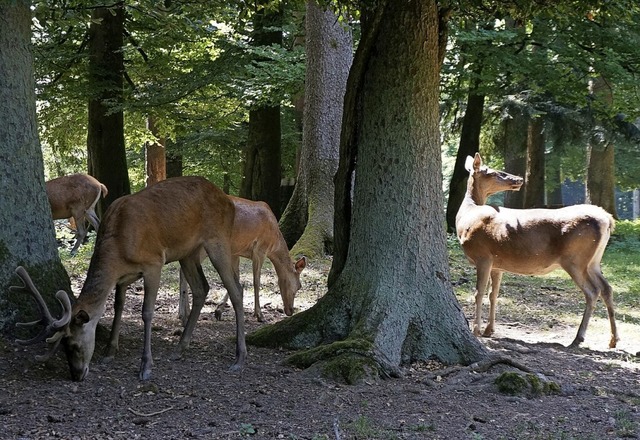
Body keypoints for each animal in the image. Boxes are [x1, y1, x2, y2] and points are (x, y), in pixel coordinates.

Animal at [13, 176, 248, 382]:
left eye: (73, 345)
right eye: (63, 346)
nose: (77, 375)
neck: (119, 249)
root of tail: (229, 201)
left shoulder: (154, 262)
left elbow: (147, 312)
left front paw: (146, 366)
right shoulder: (123, 276)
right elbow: (118, 306)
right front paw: (109, 351)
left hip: (218, 239)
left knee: (236, 290)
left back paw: (239, 358)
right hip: (188, 253)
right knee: (201, 288)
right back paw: (180, 348)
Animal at [178, 195, 308, 324]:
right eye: (299, 286)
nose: (290, 311)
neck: (274, 244)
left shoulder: (235, 252)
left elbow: (237, 278)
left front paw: (218, 310)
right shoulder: (260, 249)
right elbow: (256, 282)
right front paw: (259, 315)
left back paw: (183, 313)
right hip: (205, 244)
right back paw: (184, 314)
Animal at [452, 153, 616, 348]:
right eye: (492, 172)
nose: (519, 179)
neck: (466, 217)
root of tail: (607, 219)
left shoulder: (483, 255)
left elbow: (479, 292)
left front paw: (476, 330)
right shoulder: (497, 263)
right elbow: (494, 294)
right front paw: (489, 329)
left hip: (575, 259)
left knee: (592, 291)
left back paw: (578, 338)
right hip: (594, 261)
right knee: (607, 288)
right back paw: (613, 340)